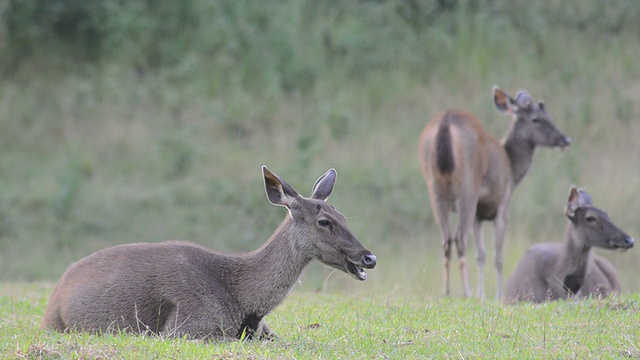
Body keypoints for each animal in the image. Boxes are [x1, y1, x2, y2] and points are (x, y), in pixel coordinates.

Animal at [40, 166, 376, 340]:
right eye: (324, 222)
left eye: (342, 215)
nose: (369, 257)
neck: (244, 302)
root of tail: (53, 300)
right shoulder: (184, 327)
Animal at [418, 86, 572, 298]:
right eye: (536, 119)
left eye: (549, 116)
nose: (565, 139)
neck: (512, 169)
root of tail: (445, 123)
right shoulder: (502, 205)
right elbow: (497, 256)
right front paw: (497, 294)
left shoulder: (479, 215)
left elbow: (481, 254)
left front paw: (482, 294)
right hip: (467, 186)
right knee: (459, 238)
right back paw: (466, 291)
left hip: (434, 186)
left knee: (446, 239)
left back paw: (446, 292)